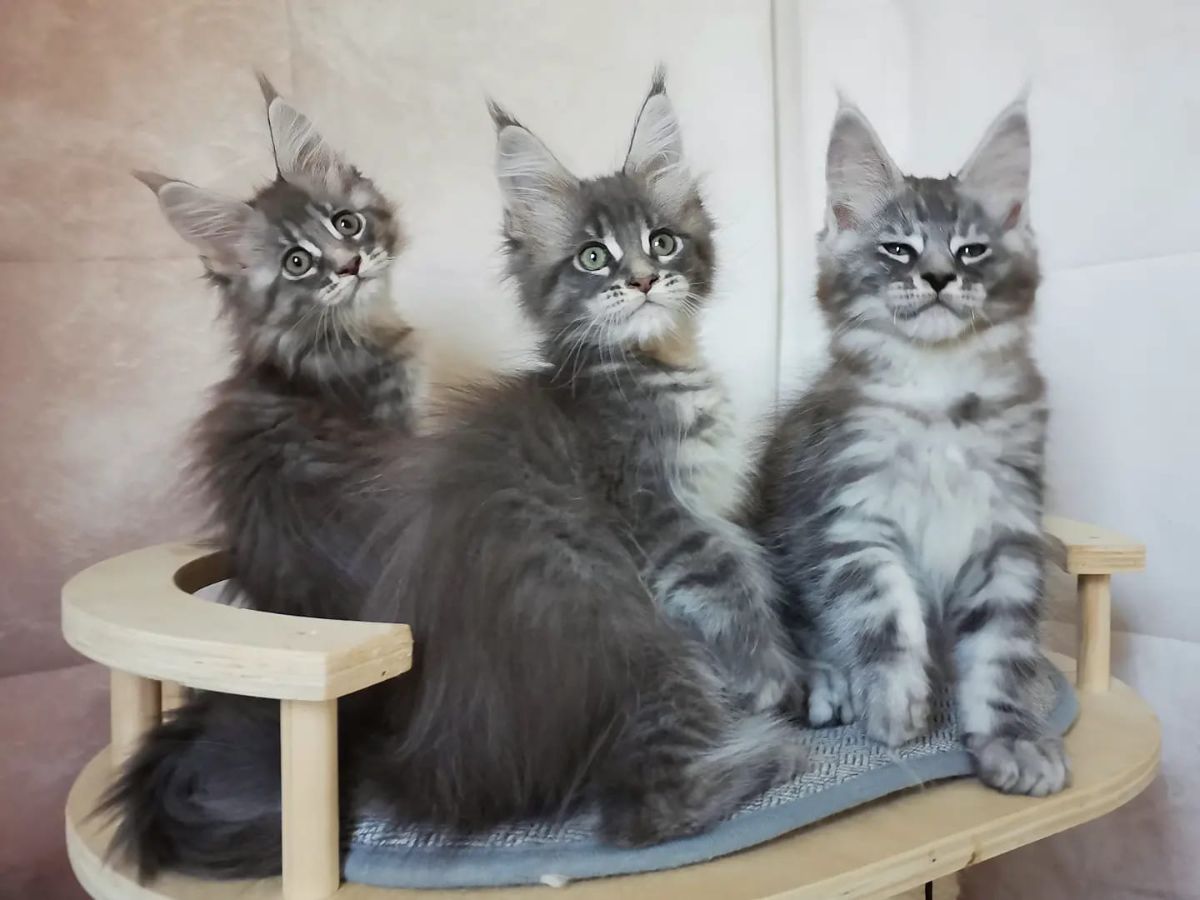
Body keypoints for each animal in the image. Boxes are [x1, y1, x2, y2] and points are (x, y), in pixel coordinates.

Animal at [758, 98, 1070, 796]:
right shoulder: (849, 516)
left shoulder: (1008, 530)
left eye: (971, 250)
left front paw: (1010, 736)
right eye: (897, 249)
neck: (940, 392)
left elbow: (1000, 650)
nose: (937, 277)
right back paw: (828, 681)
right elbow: (882, 610)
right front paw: (894, 699)